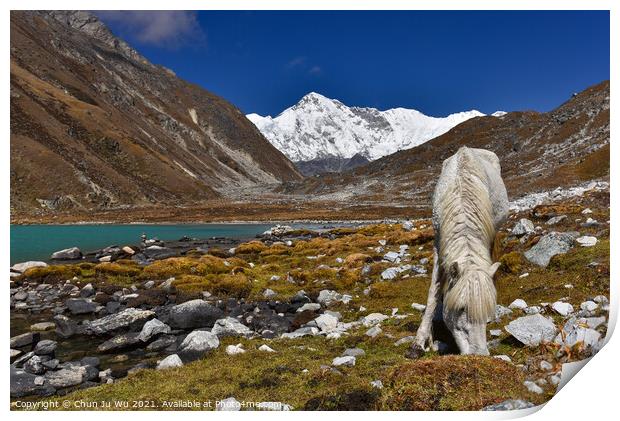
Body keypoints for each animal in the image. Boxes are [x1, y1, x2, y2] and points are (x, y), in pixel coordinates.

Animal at [410, 146, 506, 356]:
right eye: (461, 308)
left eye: (488, 311)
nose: (479, 355)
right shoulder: (439, 245)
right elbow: (433, 293)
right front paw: (420, 342)